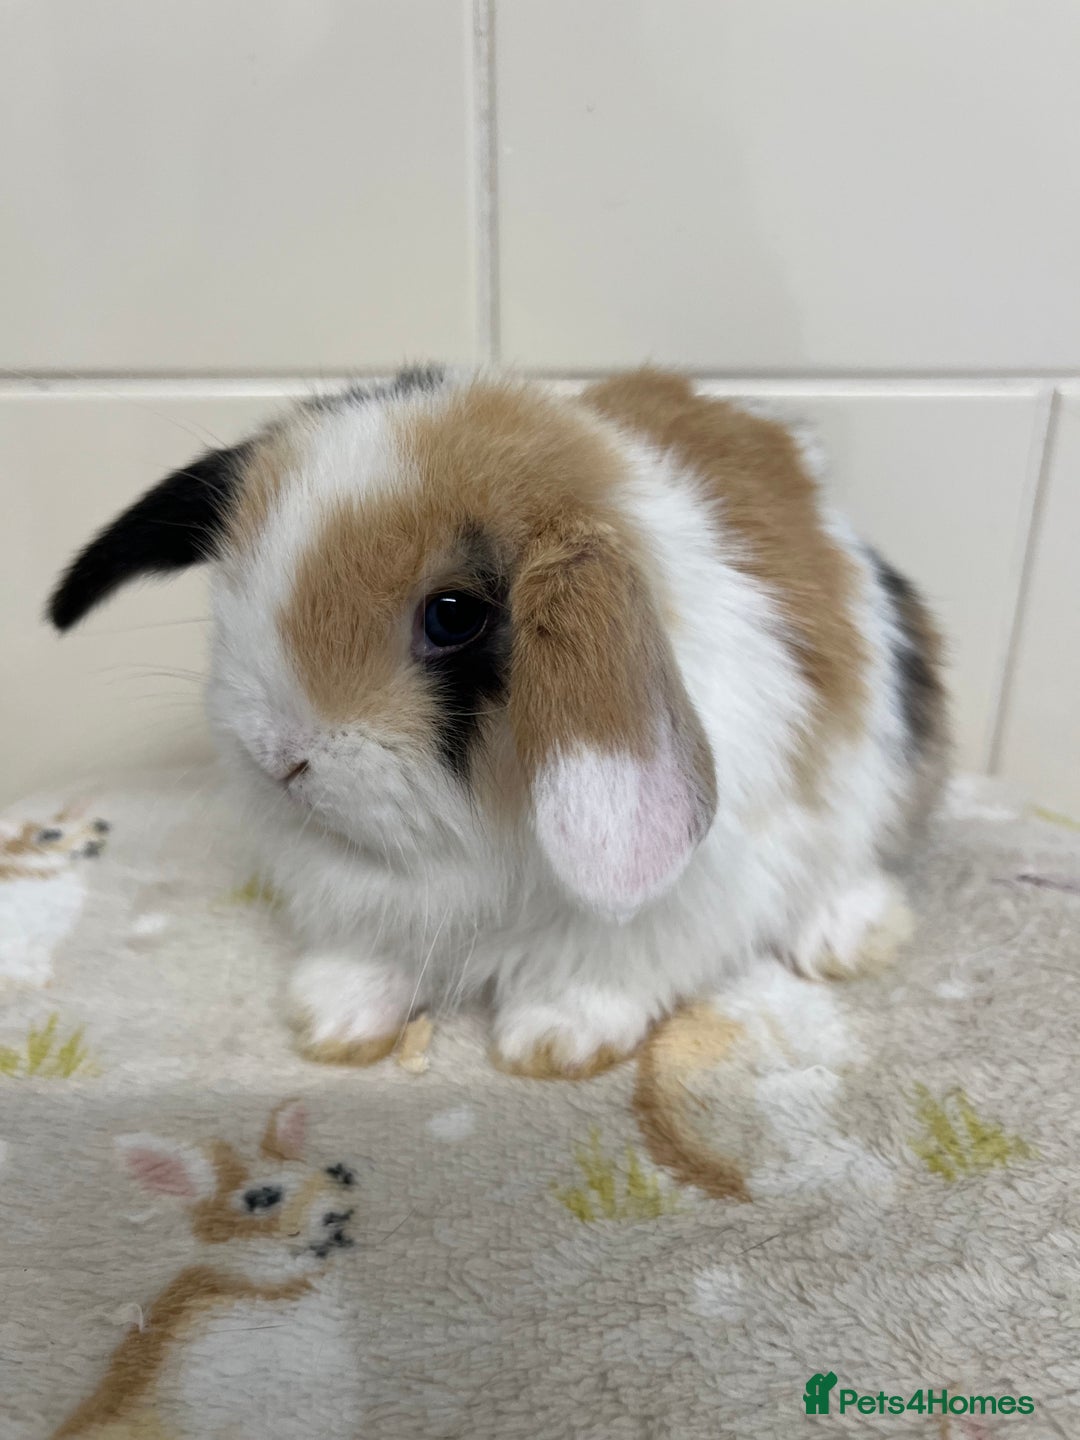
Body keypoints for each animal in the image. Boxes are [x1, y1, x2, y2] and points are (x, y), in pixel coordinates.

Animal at [48, 367, 948, 1078]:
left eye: (452, 617)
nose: (278, 758)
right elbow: (367, 960)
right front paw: (333, 1020)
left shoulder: (663, 912)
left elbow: (603, 970)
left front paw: (551, 1042)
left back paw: (846, 937)